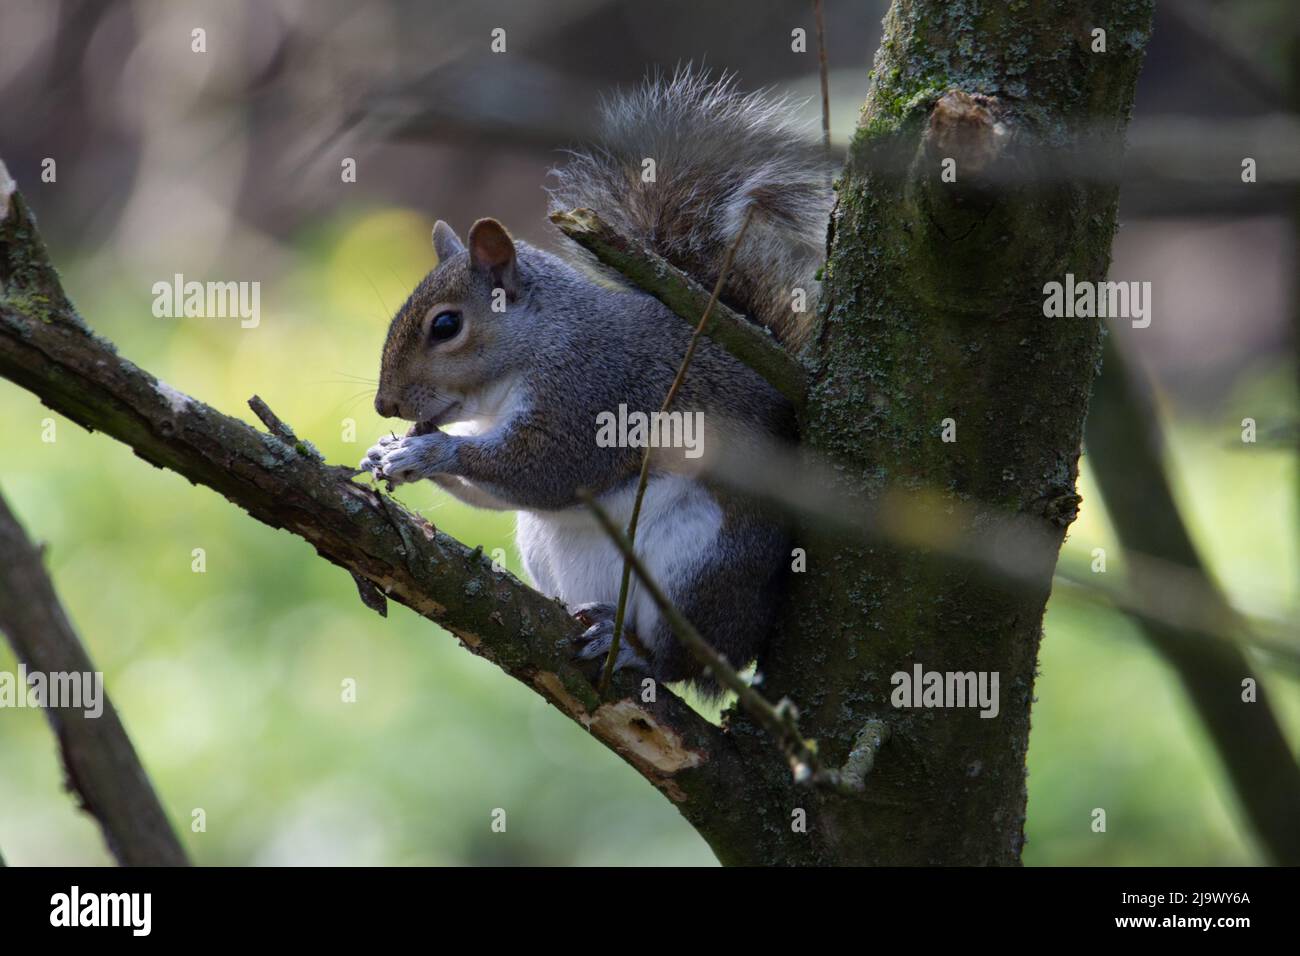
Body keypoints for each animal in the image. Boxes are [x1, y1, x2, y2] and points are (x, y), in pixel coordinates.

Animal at [361, 69, 837, 697]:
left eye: (445, 326)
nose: (383, 404)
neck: (537, 347)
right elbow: (501, 492)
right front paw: (388, 453)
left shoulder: (593, 393)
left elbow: (550, 471)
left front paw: (432, 450)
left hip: (702, 563)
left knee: (683, 660)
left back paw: (641, 654)